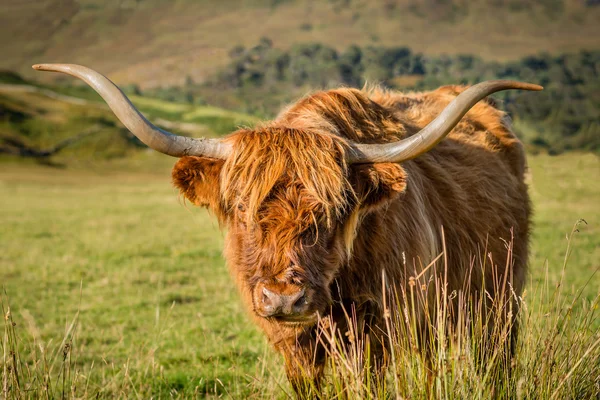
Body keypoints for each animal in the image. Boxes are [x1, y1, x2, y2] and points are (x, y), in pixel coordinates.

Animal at [32, 64, 540, 396]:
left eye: (338, 209)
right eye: (241, 207)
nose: (284, 298)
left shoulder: (384, 330)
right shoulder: (292, 346)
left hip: (496, 301)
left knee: (492, 359)